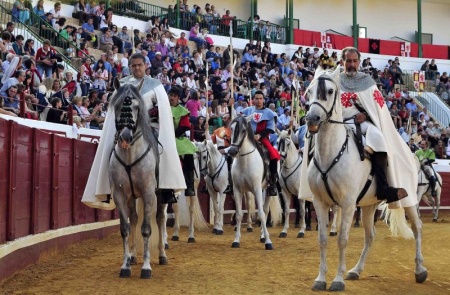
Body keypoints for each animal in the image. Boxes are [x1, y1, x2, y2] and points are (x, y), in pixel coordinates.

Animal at [229, 115, 282, 250]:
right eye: (231, 129)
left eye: (243, 130)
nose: (232, 151)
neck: (245, 161)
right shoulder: (237, 190)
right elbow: (238, 214)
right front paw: (236, 240)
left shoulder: (257, 189)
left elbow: (262, 214)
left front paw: (268, 242)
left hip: (267, 190)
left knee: (265, 210)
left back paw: (263, 236)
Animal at [304, 67, 428, 292]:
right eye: (309, 91)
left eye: (329, 91)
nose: (312, 119)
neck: (330, 153)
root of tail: (412, 155)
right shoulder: (320, 202)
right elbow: (323, 240)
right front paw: (320, 279)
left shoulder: (348, 203)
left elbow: (342, 240)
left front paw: (337, 280)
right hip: (370, 205)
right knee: (370, 236)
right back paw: (356, 270)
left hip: (409, 200)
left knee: (417, 228)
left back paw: (420, 270)